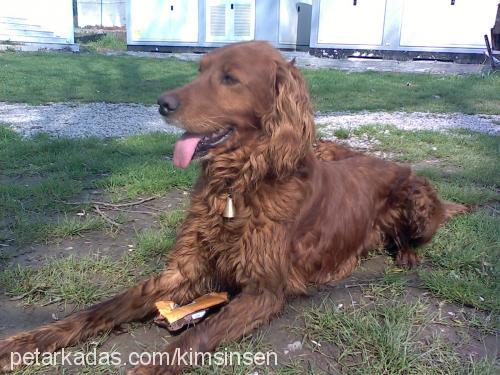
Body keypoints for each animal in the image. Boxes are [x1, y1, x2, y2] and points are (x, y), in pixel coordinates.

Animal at [0, 42, 468, 374]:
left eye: (230, 78)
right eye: (200, 70)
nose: (162, 103)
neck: (236, 184)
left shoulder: (264, 289)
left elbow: (192, 339)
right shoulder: (184, 270)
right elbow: (103, 308)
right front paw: (21, 343)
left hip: (417, 197)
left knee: (415, 235)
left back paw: (407, 254)